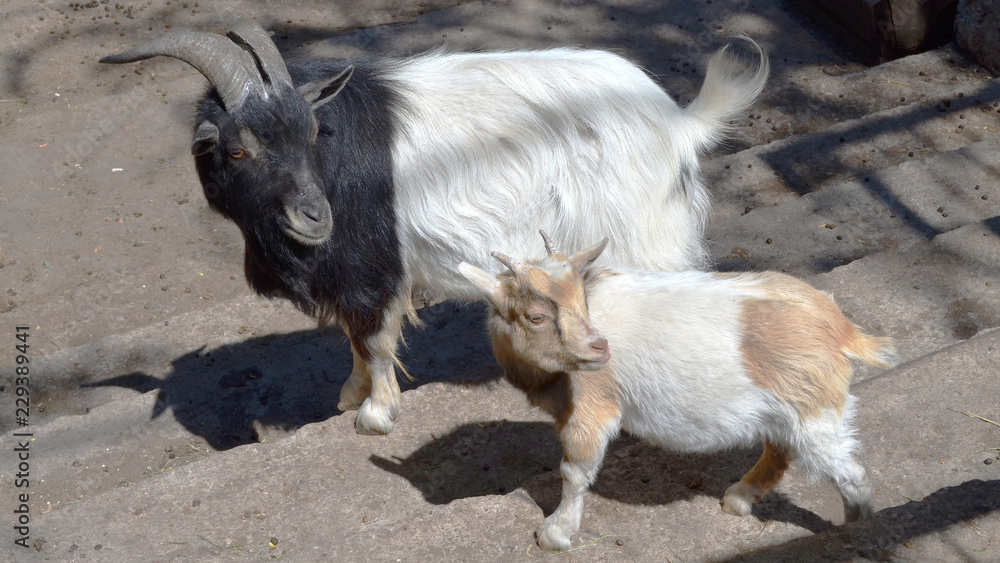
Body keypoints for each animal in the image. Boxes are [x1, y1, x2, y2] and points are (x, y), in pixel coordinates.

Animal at [100, 21, 769, 435]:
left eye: (310, 134)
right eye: (236, 149)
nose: (317, 218)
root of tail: (680, 124)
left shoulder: (368, 265)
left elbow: (372, 336)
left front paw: (375, 415)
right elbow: (353, 340)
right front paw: (349, 396)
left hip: (642, 234)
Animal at [458, 232, 896, 550]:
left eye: (583, 301)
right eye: (536, 316)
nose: (599, 348)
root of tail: (840, 328)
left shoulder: (591, 405)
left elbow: (574, 471)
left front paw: (555, 534)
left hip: (813, 409)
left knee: (847, 470)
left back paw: (856, 527)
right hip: (788, 408)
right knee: (781, 448)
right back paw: (740, 497)